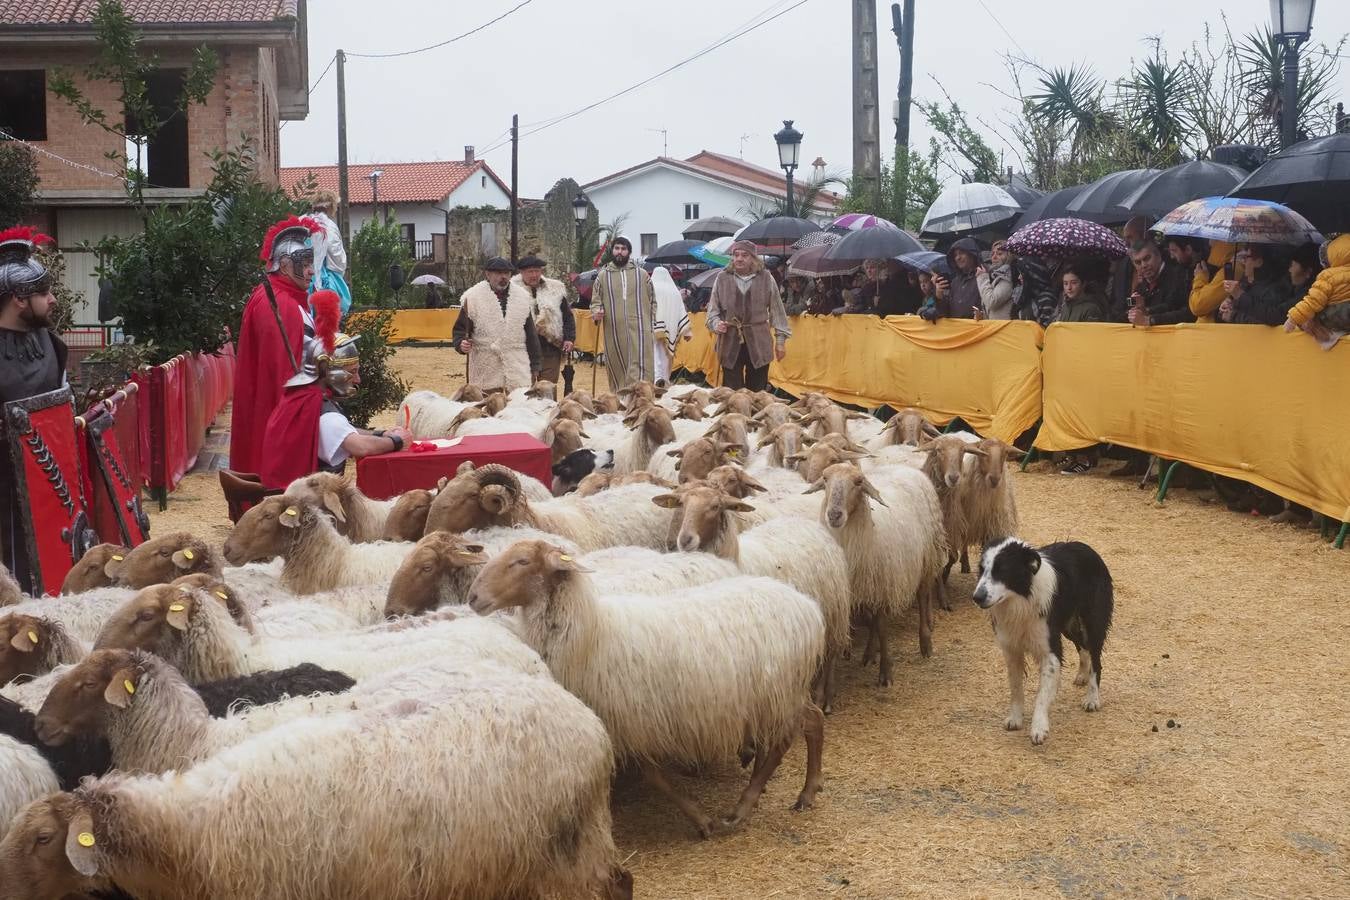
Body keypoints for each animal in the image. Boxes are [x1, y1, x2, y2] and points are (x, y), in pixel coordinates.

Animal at [467, 542, 820, 847]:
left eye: (522, 561)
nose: (472, 597)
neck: (590, 634)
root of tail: (806, 606)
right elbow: (655, 776)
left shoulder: (633, 723)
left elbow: (655, 777)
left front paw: (702, 820)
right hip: (774, 695)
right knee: (810, 721)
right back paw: (804, 791)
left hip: (780, 691)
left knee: (787, 738)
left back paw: (746, 806)